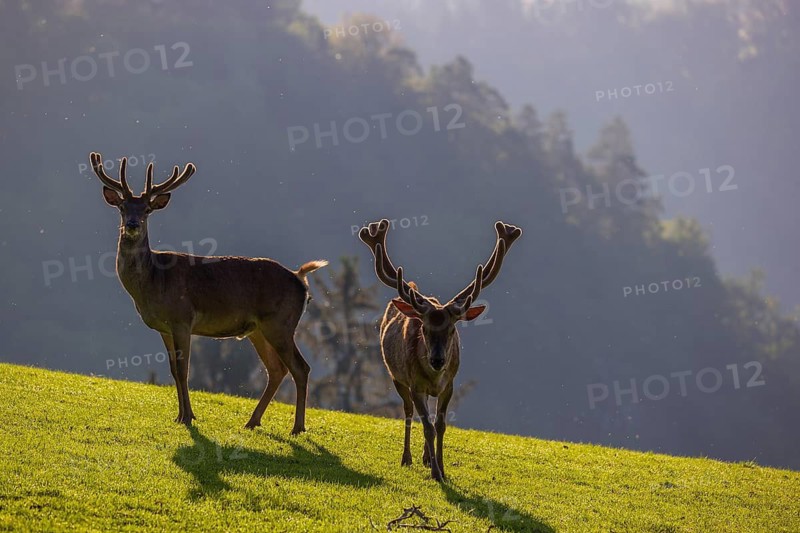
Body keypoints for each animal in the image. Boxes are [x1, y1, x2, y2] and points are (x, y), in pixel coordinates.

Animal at [88, 152, 327, 434]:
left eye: (147, 209)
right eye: (122, 207)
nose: (133, 225)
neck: (154, 281)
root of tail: (301, 279)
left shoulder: (182, 318)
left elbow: (183, 370)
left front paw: (188, 417)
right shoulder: (164, 328)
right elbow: (173, 370)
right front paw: (180, 415)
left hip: (280, 322)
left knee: (301, 368)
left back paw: (297, 427)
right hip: (258, 329)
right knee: (277, 369)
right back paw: (252, 421)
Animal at [359, 219, 522, 481]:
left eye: (453, 329)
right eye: (424, 329)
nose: (437, 360)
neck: (434, 378)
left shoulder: (450, 385)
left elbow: (440, 425)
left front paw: (442, 468)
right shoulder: (414, 385)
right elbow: (427, 426)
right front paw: (436, 472)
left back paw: (426, 457)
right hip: (397, 378)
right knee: (408, 411)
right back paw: (407, 458)